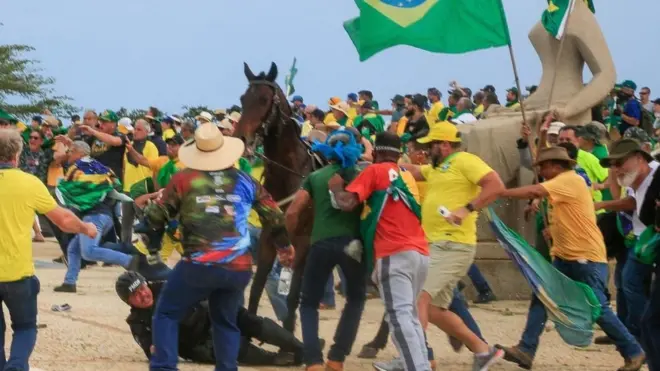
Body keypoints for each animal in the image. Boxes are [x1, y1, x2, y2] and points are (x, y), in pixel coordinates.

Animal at [237, 61, 320, 334]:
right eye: (243, 99)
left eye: (264, 99)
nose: (241, 137)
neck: (289, 173)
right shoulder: (268, 237)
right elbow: (256, 288)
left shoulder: (303, 242)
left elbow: (293, 296)